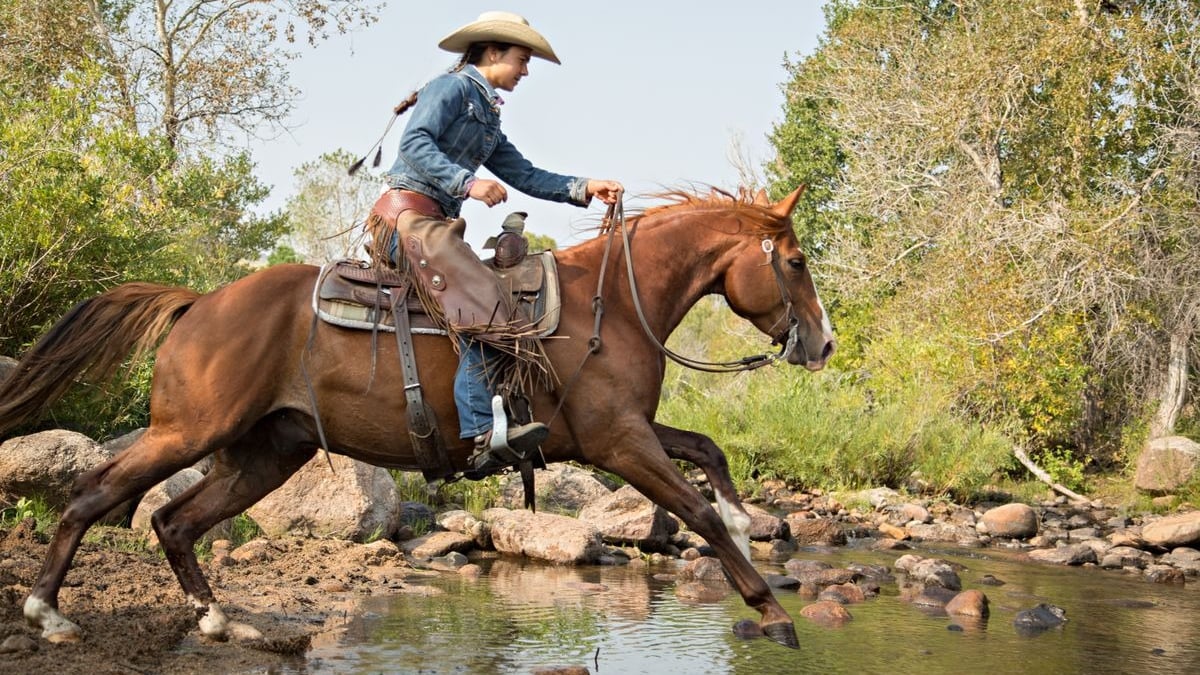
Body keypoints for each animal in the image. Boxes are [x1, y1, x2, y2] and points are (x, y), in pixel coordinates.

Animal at [0, 183, 835, 648]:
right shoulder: (617, 442)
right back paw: (45, 611)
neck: (615, 303)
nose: (822, 342)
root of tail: (198, 302)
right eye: (795, 262)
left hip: (266, 453)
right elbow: (694, 505)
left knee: (175, 521)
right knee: (96, 494)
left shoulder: (621, 431)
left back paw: (216, 620)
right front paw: (770, 608)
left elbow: (709, 450)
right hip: (188, 433)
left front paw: (749, 525)